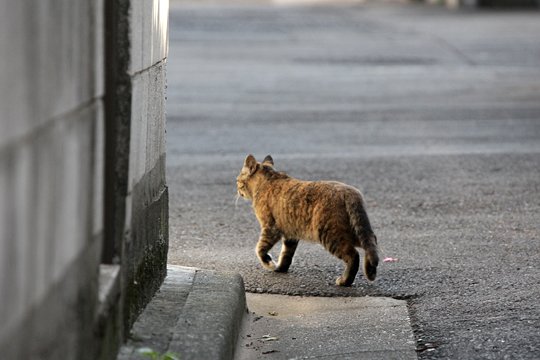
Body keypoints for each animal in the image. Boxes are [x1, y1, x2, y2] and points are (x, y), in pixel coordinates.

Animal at [236, 155, 380, 286]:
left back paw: (345, 281)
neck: (267, 181)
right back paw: (370, 271)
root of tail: (350, 192)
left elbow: (260, 249)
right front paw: (280, 268)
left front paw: (269, 263)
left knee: (354, 255)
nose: (236, 187)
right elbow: (286, 254)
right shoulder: (290, 234)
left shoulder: (270, 228)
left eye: (237, 179)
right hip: (354, 231)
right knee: (371, 243)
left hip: (330, 235)